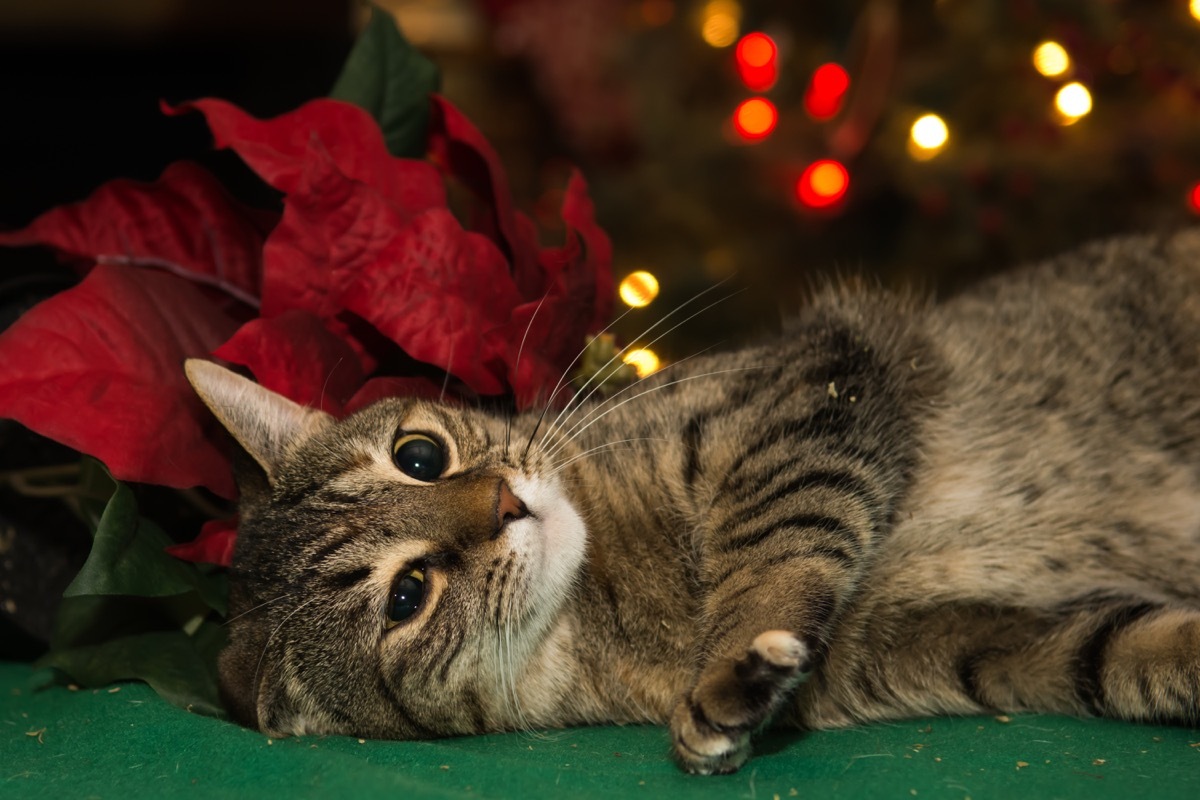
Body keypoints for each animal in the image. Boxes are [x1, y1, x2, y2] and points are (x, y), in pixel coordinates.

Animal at [184, 230, 1200, 777]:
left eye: (420, 455)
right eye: (406, 597)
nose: (505, 501)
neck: (614, 596)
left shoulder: (805, 385)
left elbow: (779, 535)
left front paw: (735, 649)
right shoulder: (951, 643)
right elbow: (1112, 653)